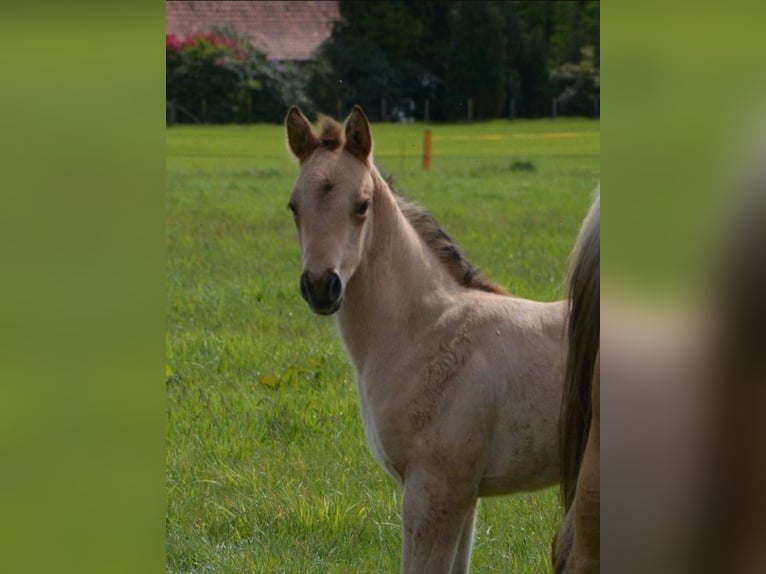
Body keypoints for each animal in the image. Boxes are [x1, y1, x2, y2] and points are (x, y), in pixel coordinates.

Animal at [284, 104, 585, 573]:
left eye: (362, 205)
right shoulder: (465, 495)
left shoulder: (435, 489)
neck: (427, 331)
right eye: (294, 206)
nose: (320, 286)